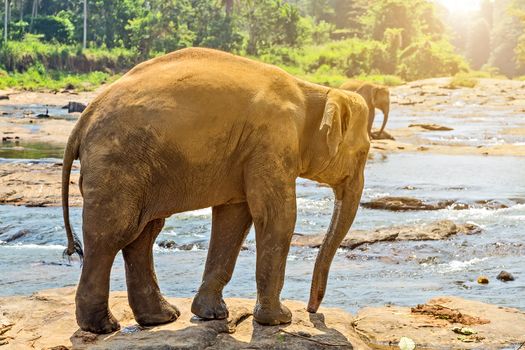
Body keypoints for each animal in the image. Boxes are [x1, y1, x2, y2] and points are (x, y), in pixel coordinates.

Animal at [61, 47, 370, 334]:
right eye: (364, 152)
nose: (312, 310)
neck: (311, 91)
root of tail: (84, 118)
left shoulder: (247, 153)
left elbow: (233, 219)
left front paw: (211, 314)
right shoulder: (272, 142)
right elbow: (277, 216)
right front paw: (280, 319)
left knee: (144, 234)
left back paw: (161, 318)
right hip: (118, 163)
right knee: (113, 234)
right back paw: (102, 326)